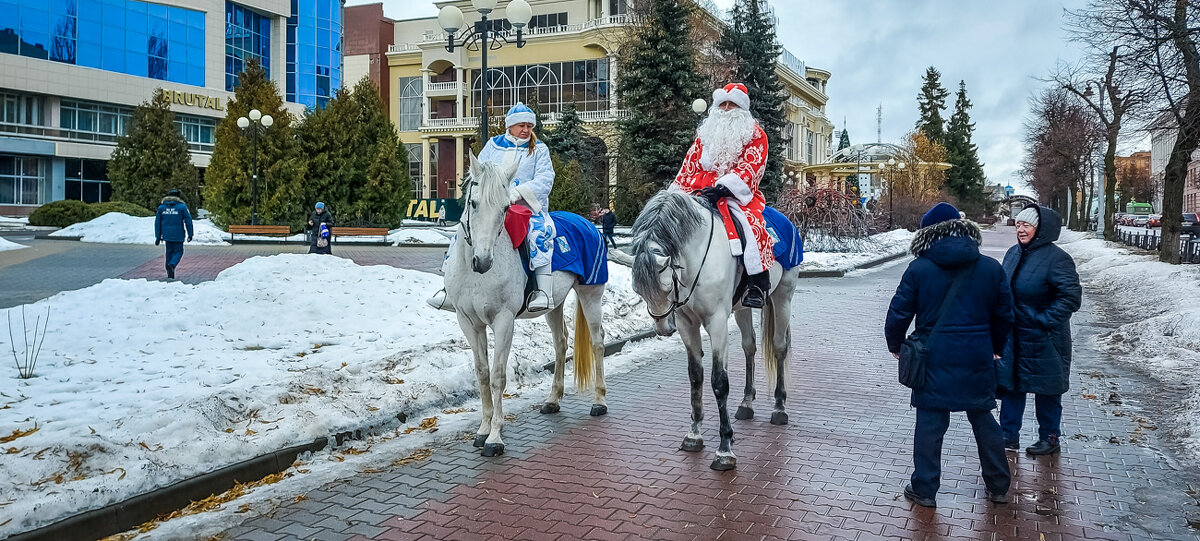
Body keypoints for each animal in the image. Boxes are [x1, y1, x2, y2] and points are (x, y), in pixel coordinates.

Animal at [444, 152, 609, 458]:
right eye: (473, 203)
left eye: (505, 208)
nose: (483, 261)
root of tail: (588, 223)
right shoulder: (469, 322)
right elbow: (482, 373)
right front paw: (482, 429)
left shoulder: (503, 320)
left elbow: (498, 376)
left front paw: (495, 437)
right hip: (553, 306)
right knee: (560, 342)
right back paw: (553, 399)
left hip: (591, 295)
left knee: (597, 342)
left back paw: (599, 401)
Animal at [628, 190, 796, 470]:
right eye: (638, 290)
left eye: (666, 286)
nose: (663, 328)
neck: (695, 258)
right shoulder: (686, 323)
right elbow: (696, 376)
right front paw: (694, 434)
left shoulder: (716, 322)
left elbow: (719, 381)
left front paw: (725, 448)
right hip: (742, 308)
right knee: (749, 346)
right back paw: (746, 402)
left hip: (783, 295)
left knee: (779, 347)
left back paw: (779, 407)